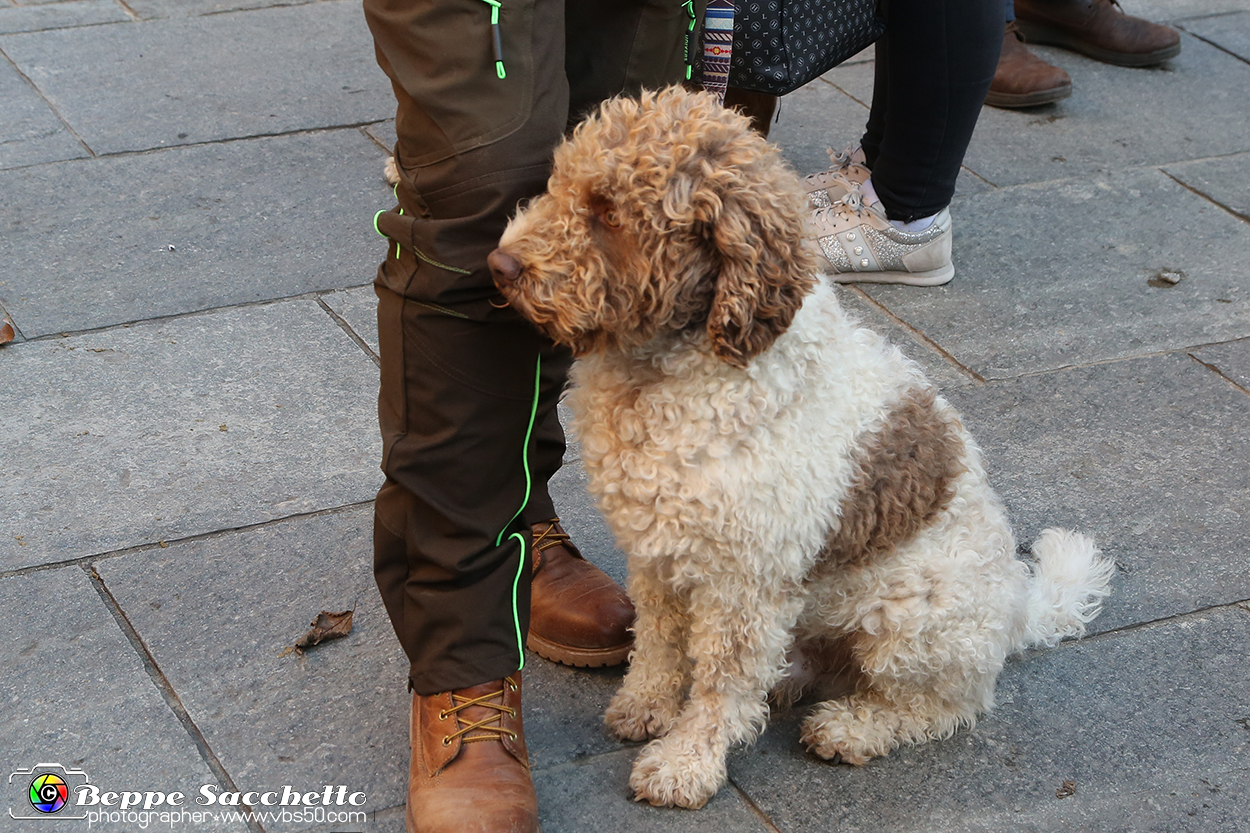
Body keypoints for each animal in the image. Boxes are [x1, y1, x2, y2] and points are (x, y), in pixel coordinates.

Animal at [487, 87, 1115, 805]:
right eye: (559, 185)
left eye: (607, 211)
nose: (499, 265)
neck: (675, 362)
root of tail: (1017, 608)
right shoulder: (659, 552)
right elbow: (660, 640)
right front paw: (647, 704)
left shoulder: (744, 578)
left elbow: (722, 680)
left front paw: (686, 761)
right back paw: (788, 678)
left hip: (915, 623)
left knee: (943, 705)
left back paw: (853, 727)